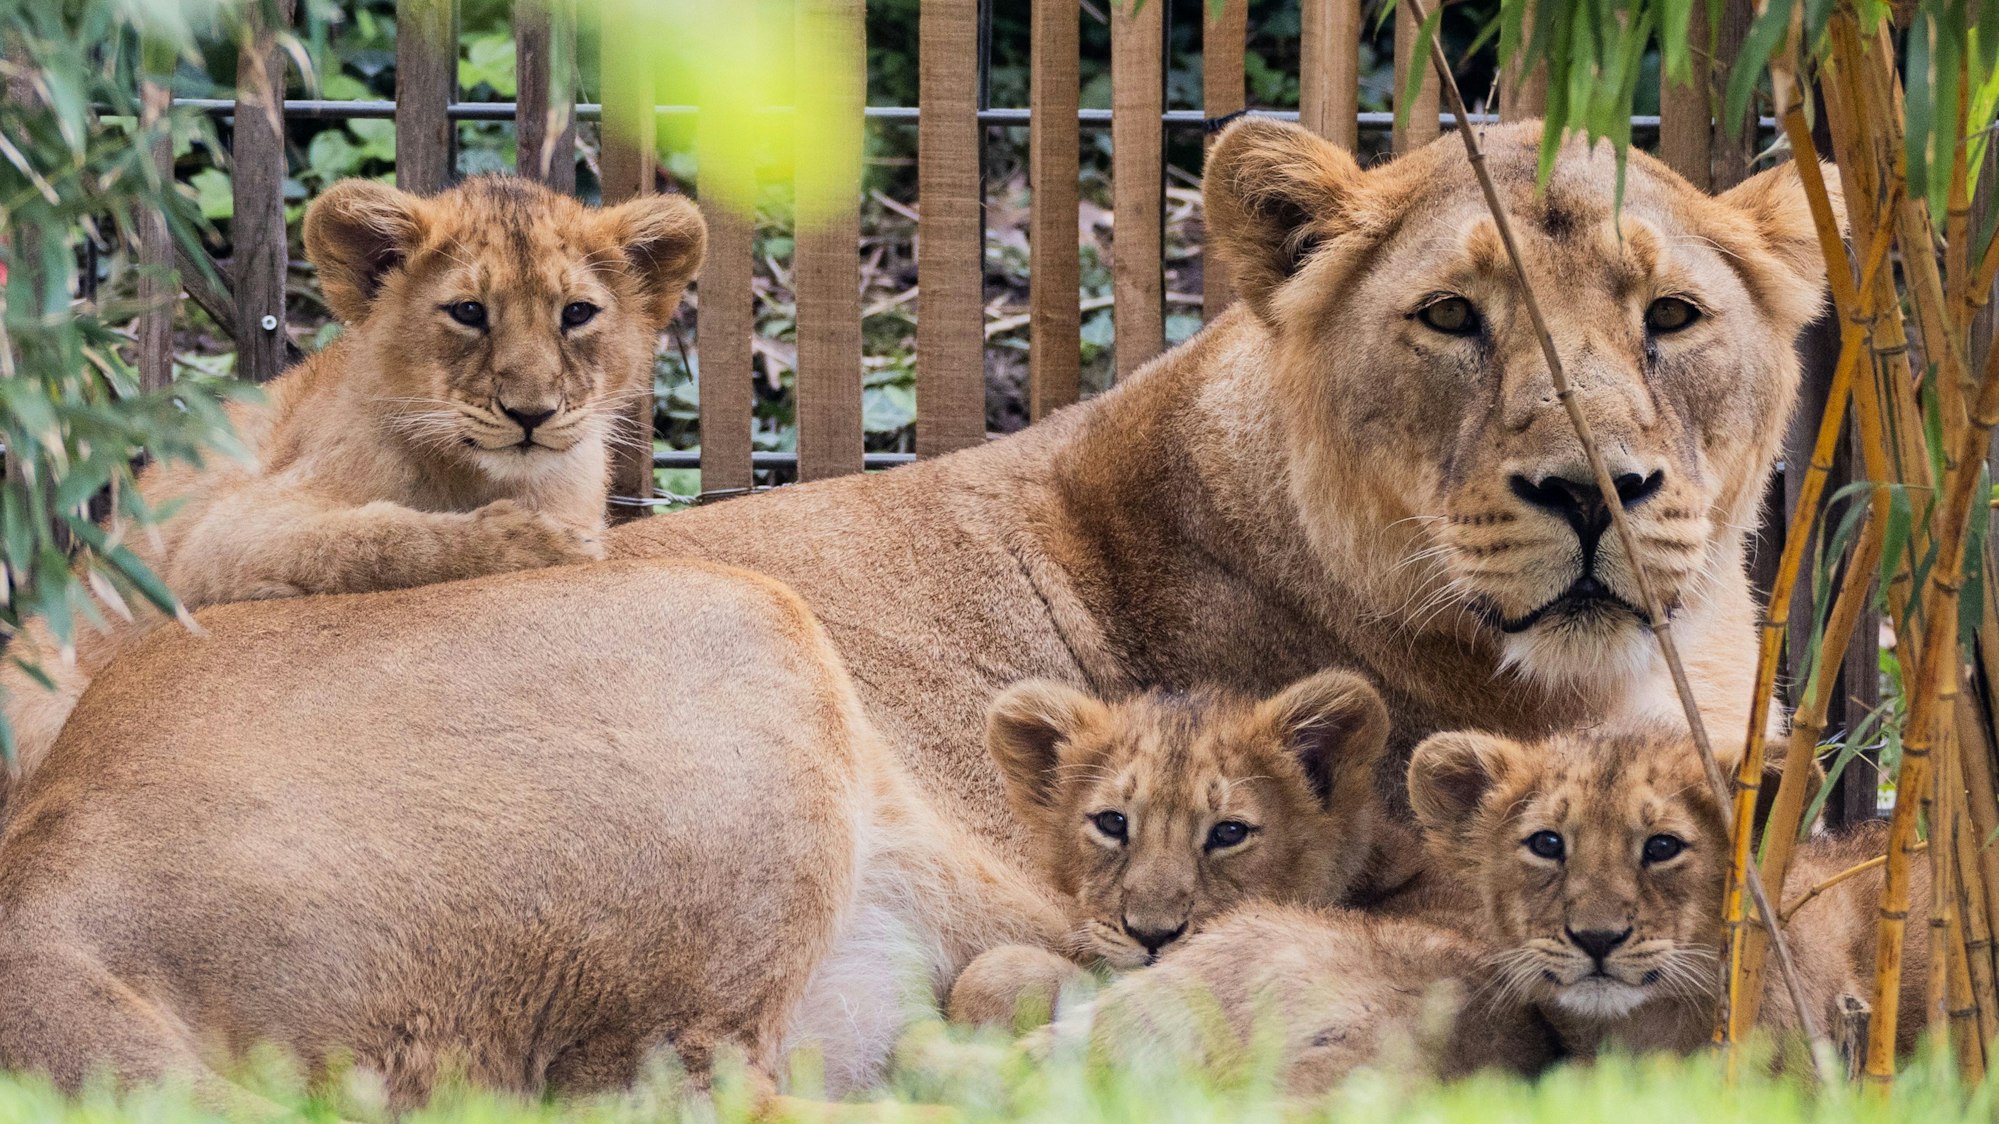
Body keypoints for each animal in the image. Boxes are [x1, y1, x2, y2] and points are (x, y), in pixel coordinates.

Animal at [0, 174, 704, 793]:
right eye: (469, 312)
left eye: (578, 313)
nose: (531, 413)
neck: (482, 477)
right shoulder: (212, 543)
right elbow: (377, 538)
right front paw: (535, 545)